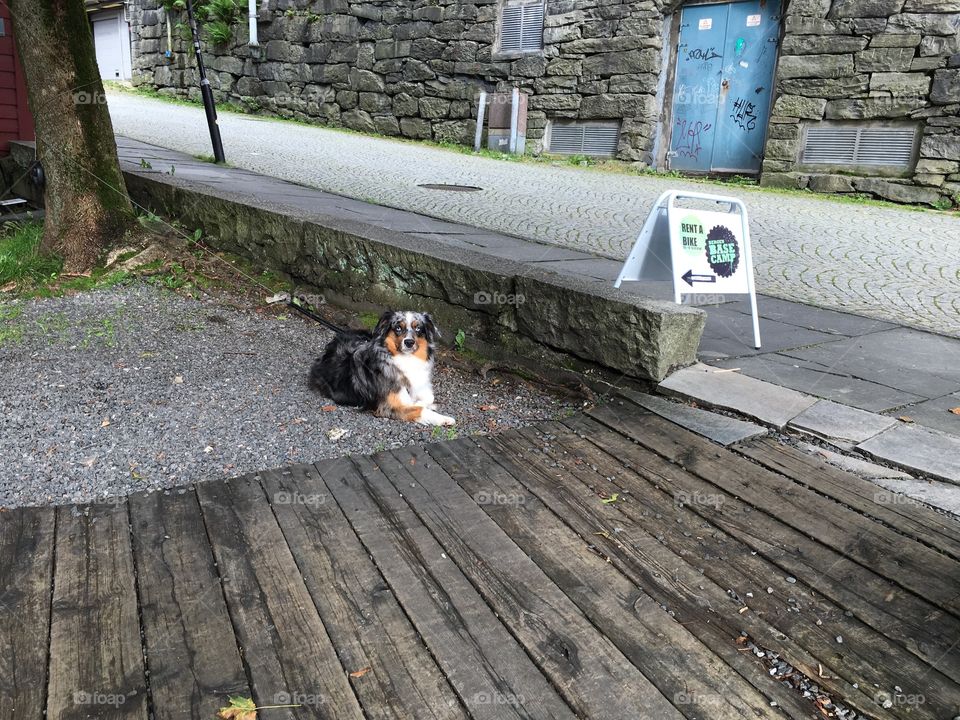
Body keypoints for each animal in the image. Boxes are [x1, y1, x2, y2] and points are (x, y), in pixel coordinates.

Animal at [310, 310, 456, 424]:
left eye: (418, 328)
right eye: (398, 328)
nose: (409, 342)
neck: (405, 359)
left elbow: (428, 398)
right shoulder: (389, 406)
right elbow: (418, 408)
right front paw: (444, 418)